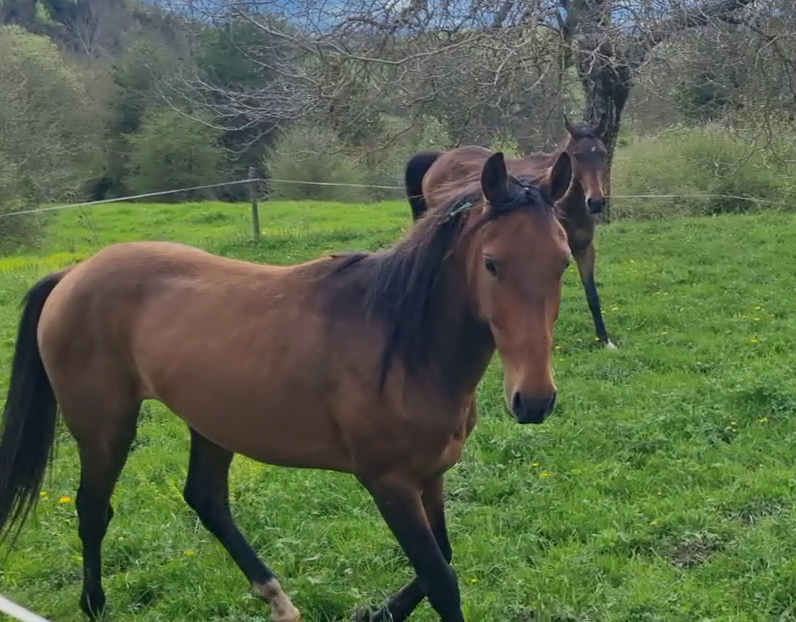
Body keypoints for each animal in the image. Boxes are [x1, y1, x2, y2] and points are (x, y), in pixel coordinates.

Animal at [0, 147, 574, 622]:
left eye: (563, 261)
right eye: (491, 264)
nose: (534, 400)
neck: (404, 347)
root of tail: (72, 275)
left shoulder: (430, 476)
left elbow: (441, 564)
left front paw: (374, 612)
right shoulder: (388, 482)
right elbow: (441, 580)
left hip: (212, 423)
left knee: (206, 500)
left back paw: (277, 599)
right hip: (105, 428)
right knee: (93, 510)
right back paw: (94, 604)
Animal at [406, 115, 615, 349]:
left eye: (602, 154)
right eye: (578, 156)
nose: (595, 202)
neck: (565, 206)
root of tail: (440, 157)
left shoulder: (583, 250)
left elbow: (592, 295)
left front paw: (605, 340)